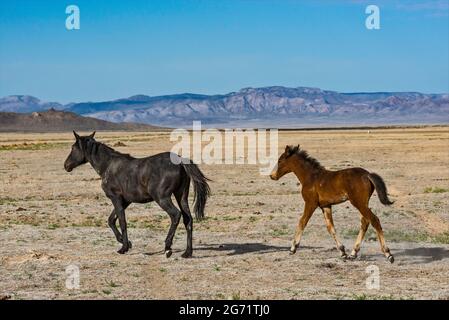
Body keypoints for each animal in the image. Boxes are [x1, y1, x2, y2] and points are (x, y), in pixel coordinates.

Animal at [64, 131, 210, 258]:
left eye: (73, 148)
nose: (66, 166)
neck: (108, 166)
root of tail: (180, 161)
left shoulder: (116, 198)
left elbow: (122, 221)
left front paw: (123, 248)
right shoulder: (125, 201)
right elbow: (111, 220)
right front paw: (126, 242)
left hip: (162, 198)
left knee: (175, 215)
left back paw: (168, 247)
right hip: (181, 196)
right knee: (188, 219)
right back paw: (187, 253)